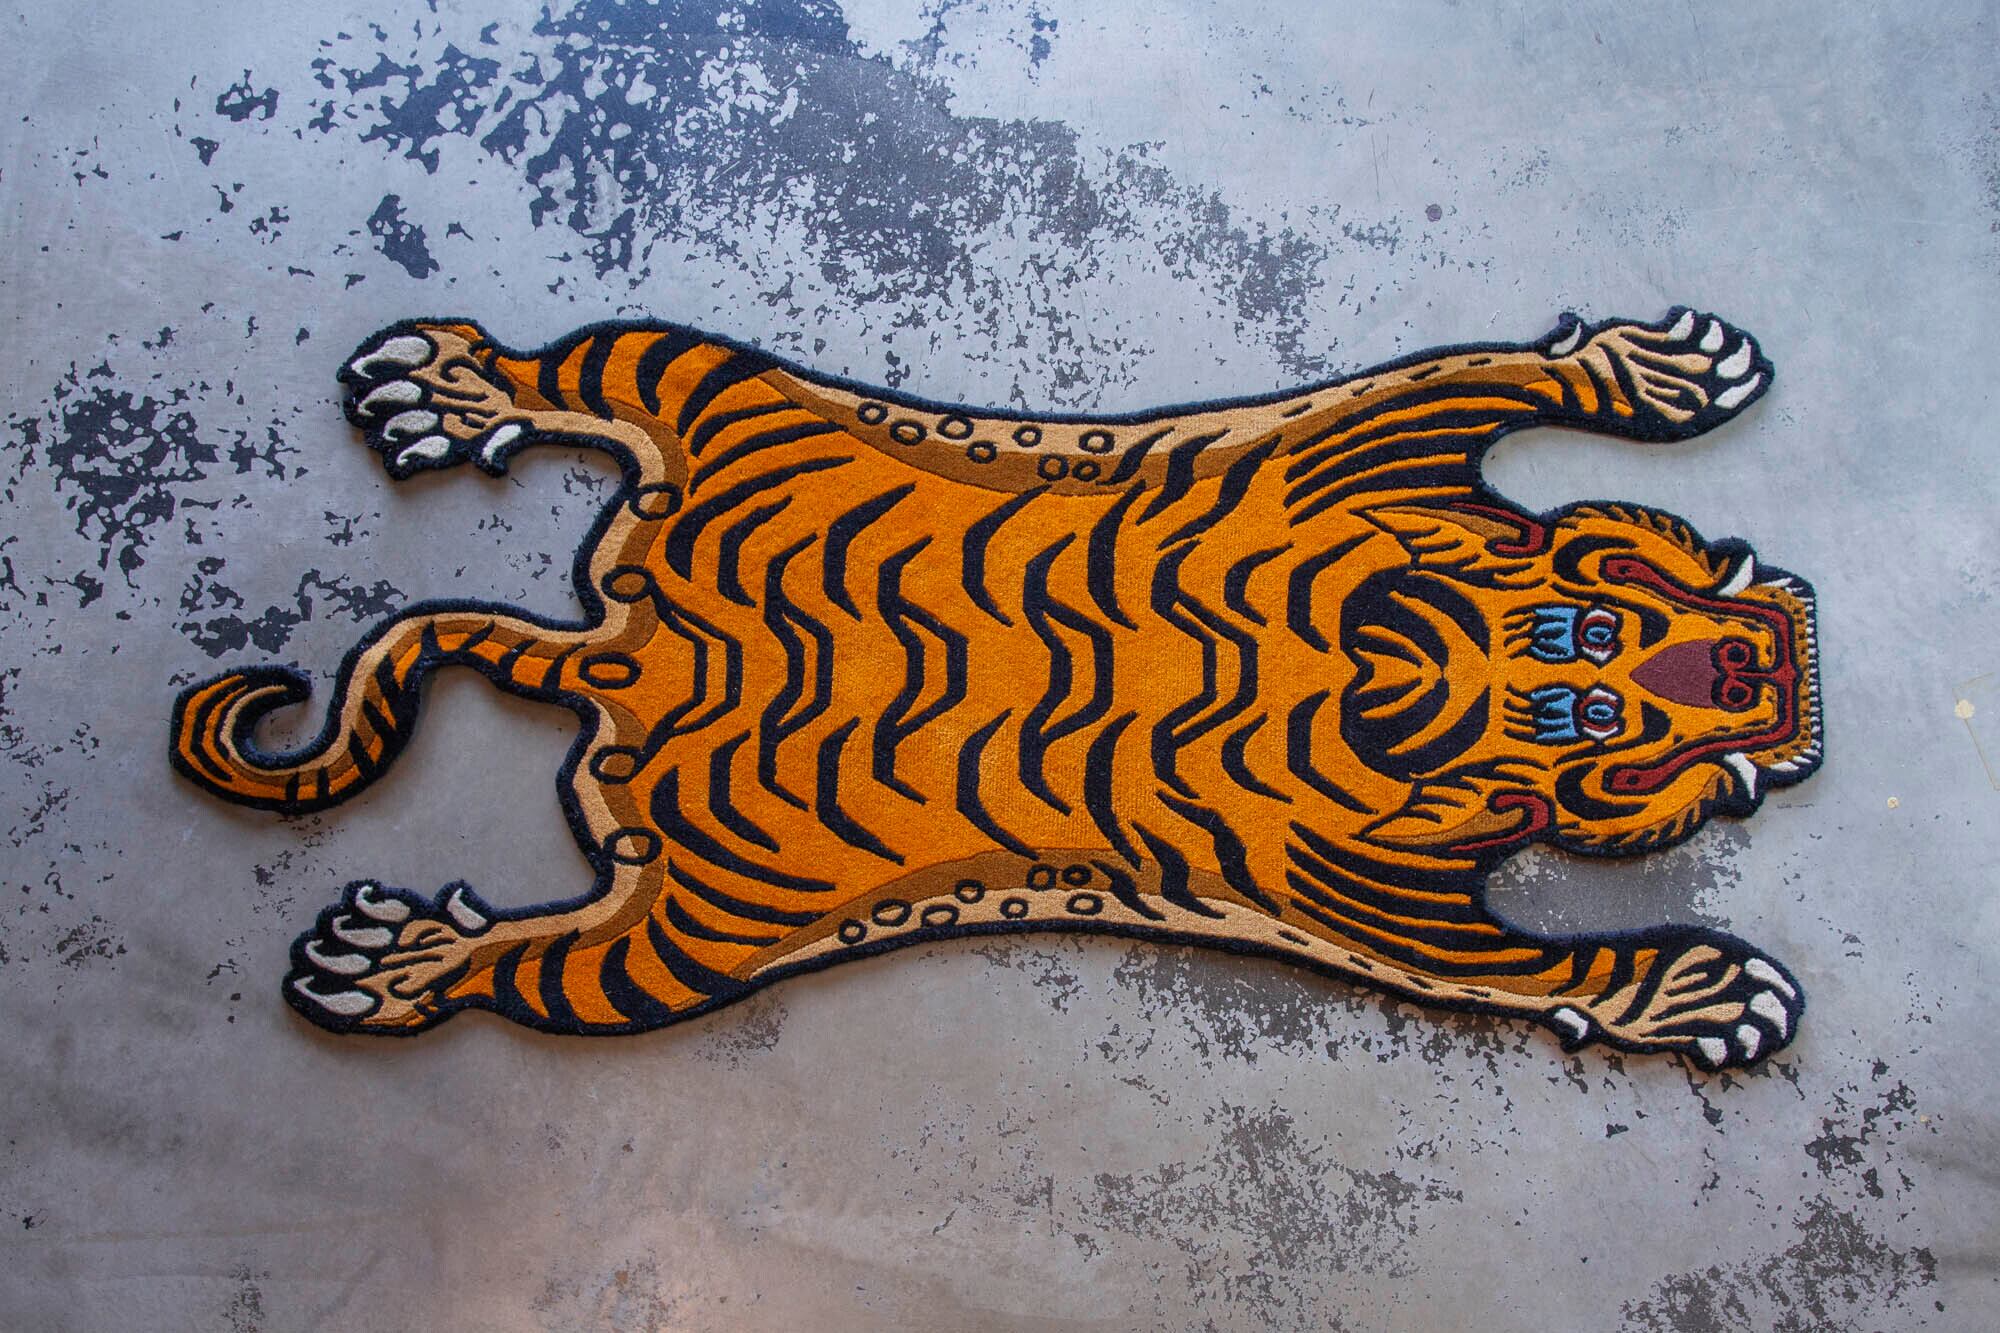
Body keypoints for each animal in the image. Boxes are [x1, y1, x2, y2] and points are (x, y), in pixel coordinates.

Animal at [169, 306, 1819, 1069]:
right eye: (1595, 679)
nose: (1764, 664)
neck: (1405, 660)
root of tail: (616, 654)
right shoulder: (1376, 452)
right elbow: (1540, 974)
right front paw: (1697, 985)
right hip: (700, 403)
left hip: (693, 907)